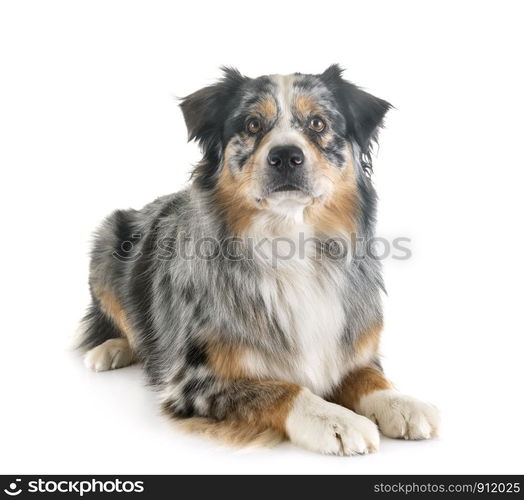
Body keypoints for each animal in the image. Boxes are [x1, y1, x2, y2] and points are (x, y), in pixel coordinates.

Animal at [78, 65, 438, 454]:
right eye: (252, 124)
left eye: (318, 123)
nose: (286, 156)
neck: (289, 244)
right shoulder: (196, 381)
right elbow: (284, 391)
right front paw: (337, 420)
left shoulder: (349, 346)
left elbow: (369, 376)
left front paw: (400, 403)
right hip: (107, 240)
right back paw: (109, 350)